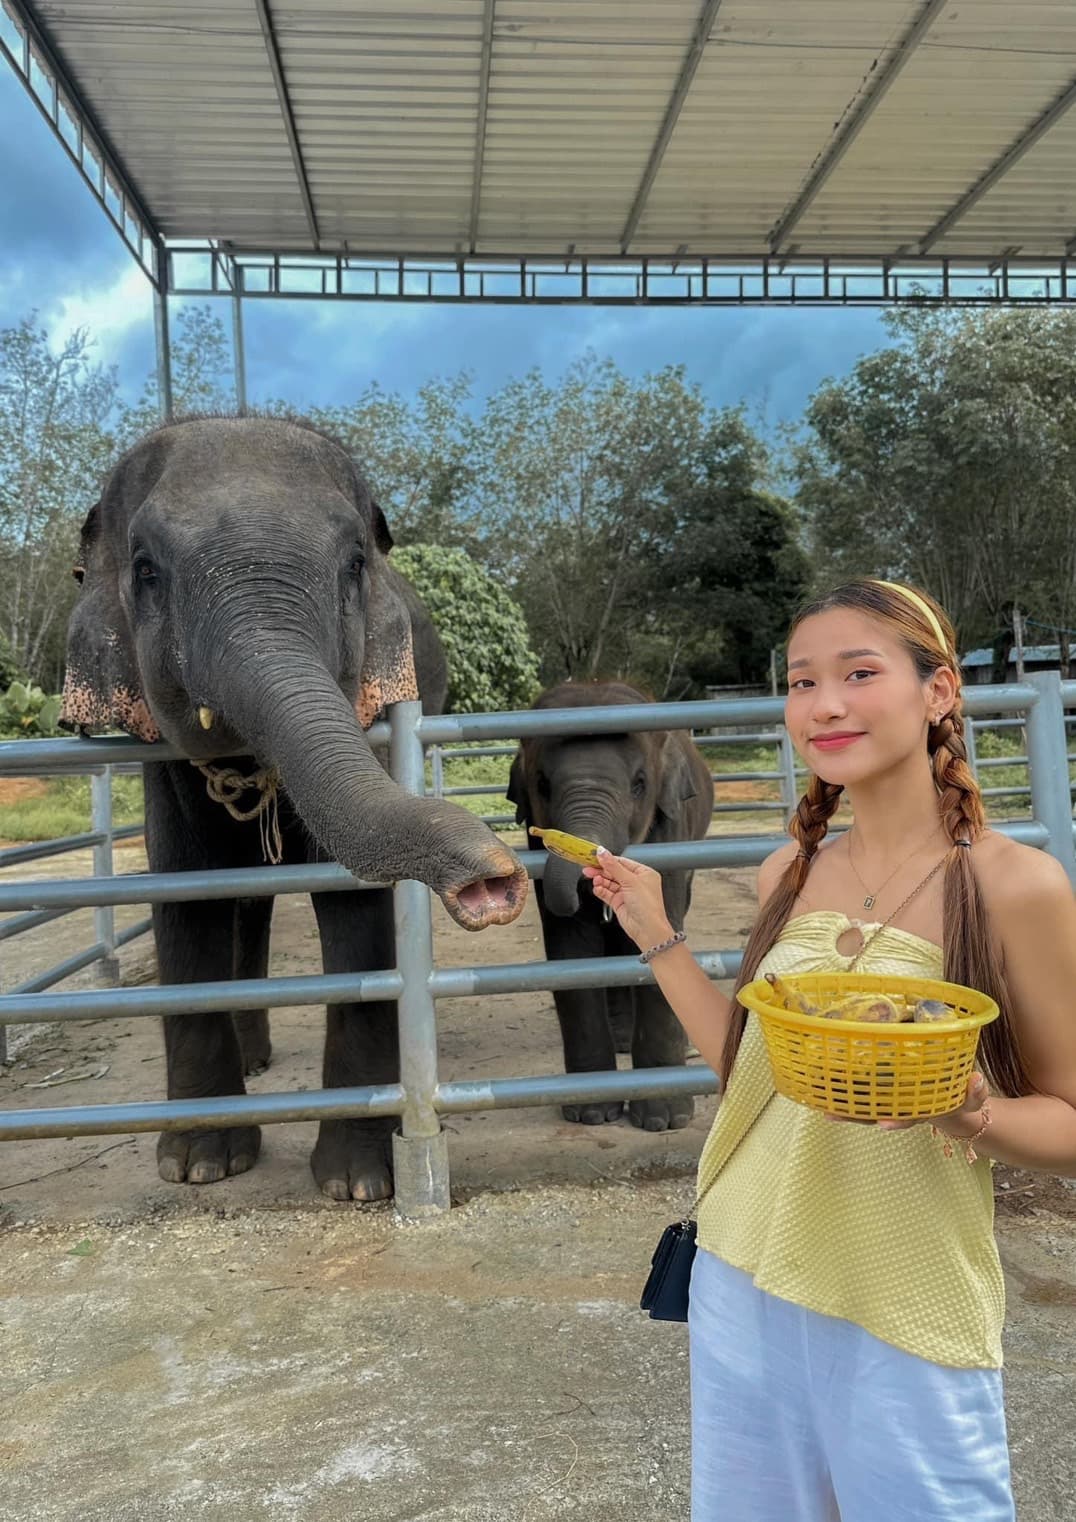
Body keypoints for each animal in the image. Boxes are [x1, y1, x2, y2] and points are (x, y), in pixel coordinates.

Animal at [61, 414, 527, 1202]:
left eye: (354, 565)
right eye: (146, 570)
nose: (494, 882)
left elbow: (355, 906)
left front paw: (360, 1183)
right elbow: (185, 895)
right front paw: (200, 1167)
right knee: (244, 901)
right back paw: (251, 1064)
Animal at [507, 681, 714, 1132]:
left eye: (639, 783)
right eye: (541, 784)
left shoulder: (670, 830)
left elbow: (660, 926)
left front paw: (664, 1121)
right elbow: (571, 949)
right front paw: (591, 1114)